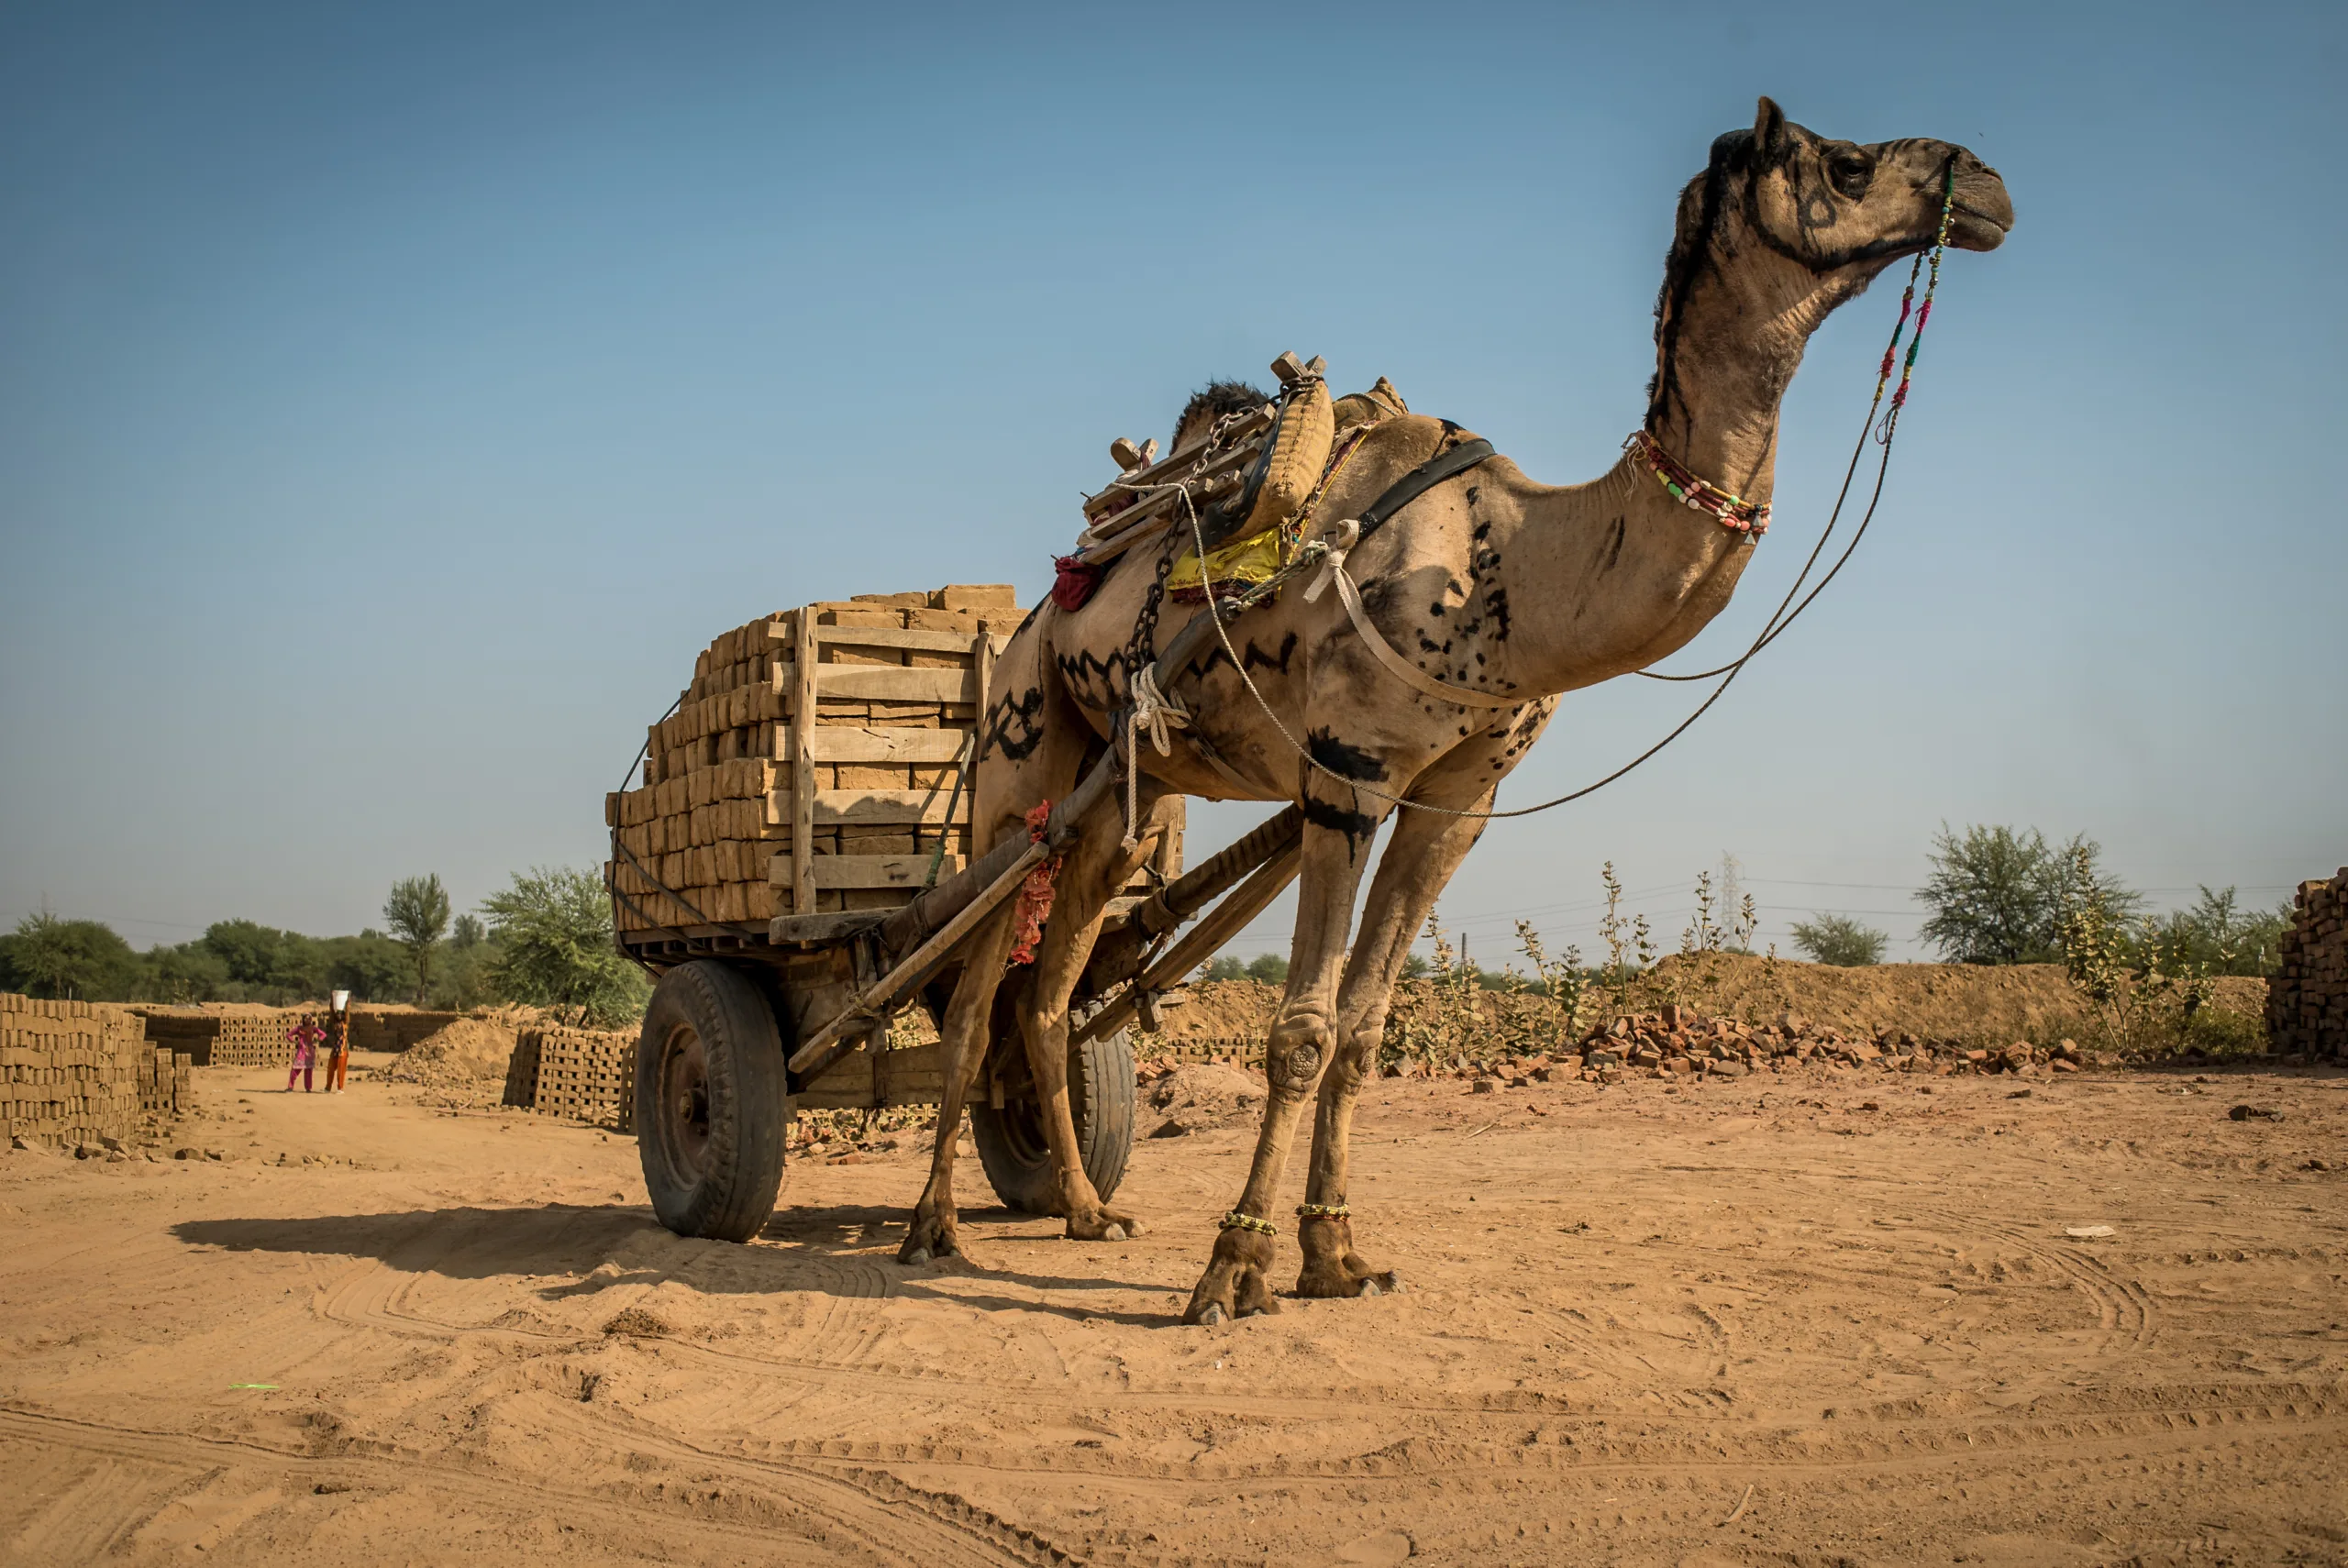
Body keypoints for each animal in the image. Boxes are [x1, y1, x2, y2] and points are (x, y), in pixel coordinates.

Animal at [895, 98, 2012, 1325]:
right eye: (1846, 164)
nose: (1987, 186)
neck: (1502, 565)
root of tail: (1037, 609)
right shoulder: (1345, 773)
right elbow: (1300, 1031)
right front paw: (1234, 1270)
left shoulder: (1457, 800)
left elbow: (1366, 1029)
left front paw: (1335, 1256)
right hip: (1021, 760)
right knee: (969, 997)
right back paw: (930, 1228)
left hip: (1123, 804)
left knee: (1047, 996)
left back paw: (1089, 1210)